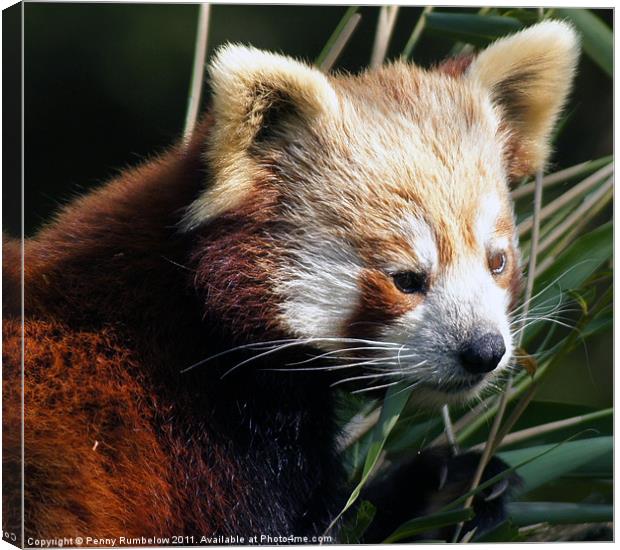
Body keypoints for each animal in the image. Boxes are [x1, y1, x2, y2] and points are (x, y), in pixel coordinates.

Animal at [2, 19, 580, 544]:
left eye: (497, 262)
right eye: (407, 279)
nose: (484, 350)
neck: (195, 311)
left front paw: (455, 484)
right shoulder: (209, 445)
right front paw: (421, 495)